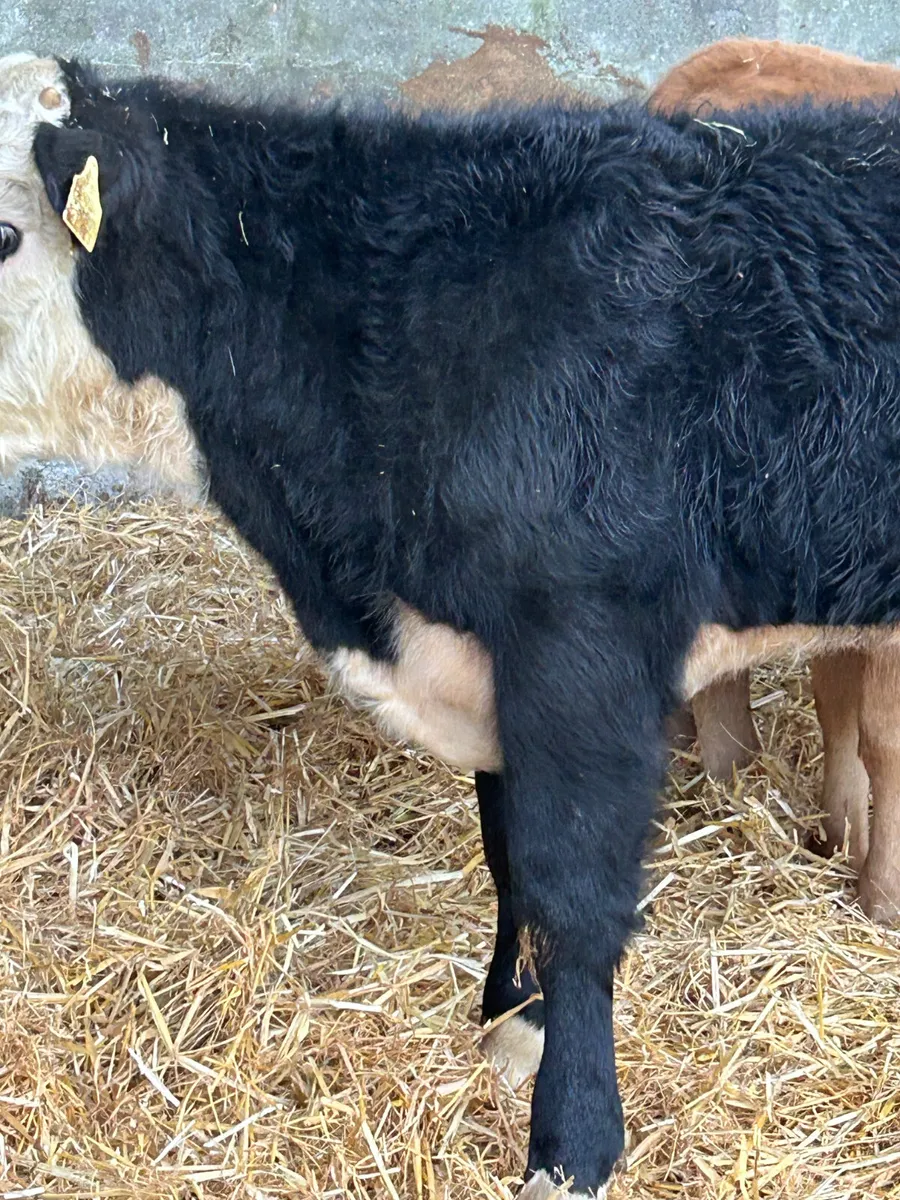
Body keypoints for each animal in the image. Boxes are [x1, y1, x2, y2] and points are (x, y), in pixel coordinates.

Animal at [27, 55, 900, 1197]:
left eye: (5, 236)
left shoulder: (582, 651)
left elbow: (572, 886)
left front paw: (571, 1141)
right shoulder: (493, 662)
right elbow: (505, 850)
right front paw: (511, 1020)